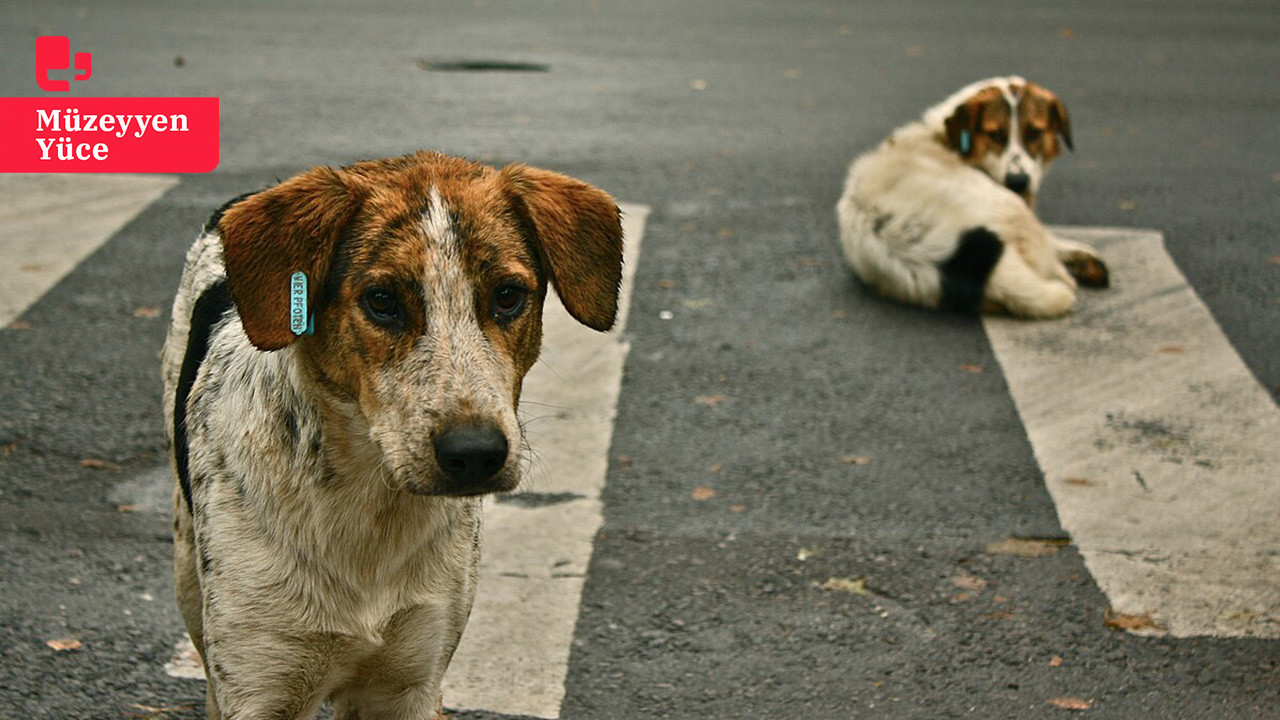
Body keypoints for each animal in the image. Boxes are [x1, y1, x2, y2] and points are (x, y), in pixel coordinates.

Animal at [162, 151, 622, 717]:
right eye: (381, 300)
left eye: (508, 296)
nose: (475, 453)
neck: (369, 506)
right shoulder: (259, 686)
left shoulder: (410, 682)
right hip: (188, 572)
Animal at [834, 74, 1105, 316]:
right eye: (995, 135)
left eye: (1035, 133)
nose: (1018, 182)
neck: (945, 139)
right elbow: (1052, 241)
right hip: (1011, 208)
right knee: (1051, 266)